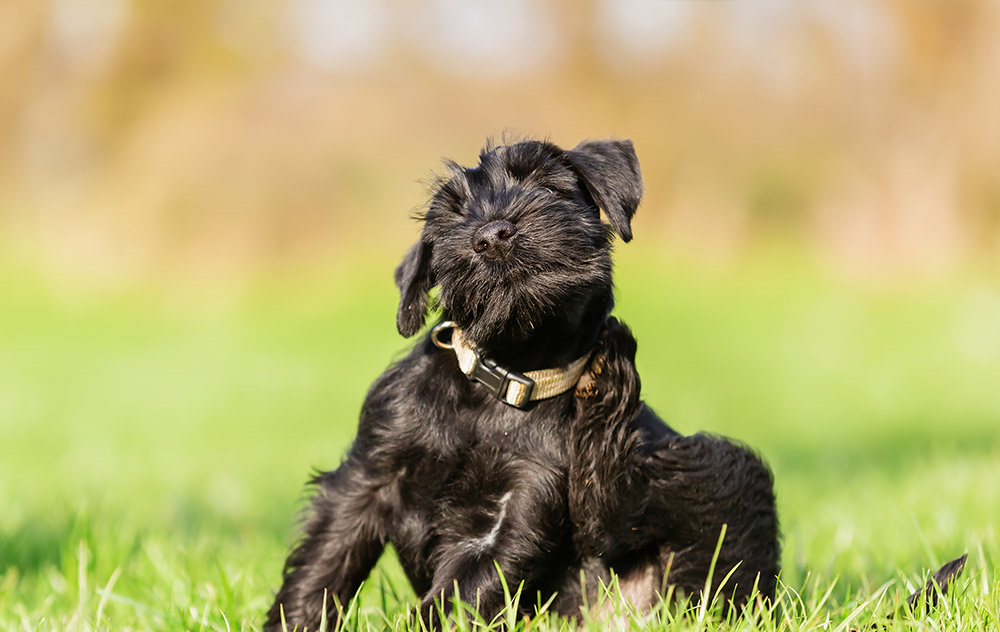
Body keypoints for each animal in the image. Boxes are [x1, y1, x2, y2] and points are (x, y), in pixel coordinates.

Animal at [266, 141, 780, 628]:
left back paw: (611, 382)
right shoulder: (366, 478)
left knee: (618, 518)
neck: (504, 379)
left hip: (718, 469)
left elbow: (459, 595)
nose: (493, 234)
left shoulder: (522, 505)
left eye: (547, 186)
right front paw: (292, 622)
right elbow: (324, 564)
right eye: (451, 217)